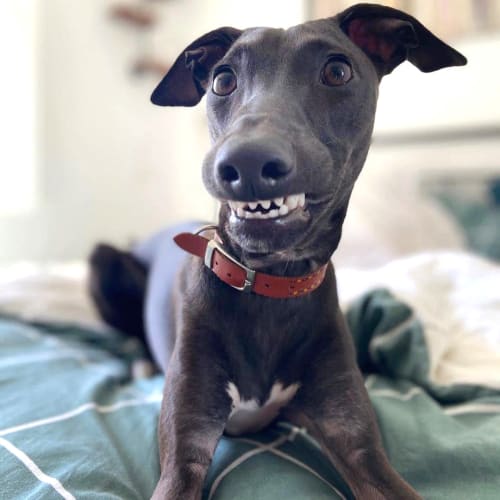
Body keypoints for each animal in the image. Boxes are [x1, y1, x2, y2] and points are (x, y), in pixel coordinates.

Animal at [89, 3, 464, 500]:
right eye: (222, 80)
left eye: (337, 71)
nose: (244, 164)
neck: (267, 283)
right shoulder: (184, 453)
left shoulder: (357, 441)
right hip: (104, 260)